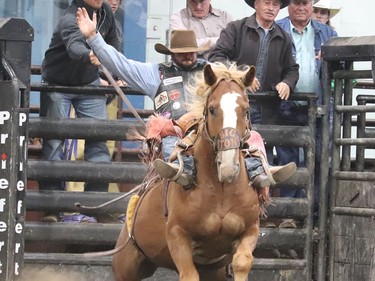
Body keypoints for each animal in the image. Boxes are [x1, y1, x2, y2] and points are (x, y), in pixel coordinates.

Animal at [114, 63, 262, 280]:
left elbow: (242, 262)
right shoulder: (177, 235)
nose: (228, 167)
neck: (221, 191)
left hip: (214, 271)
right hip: (126, 266)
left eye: (246, 110)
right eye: (212, 109)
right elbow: (189, 274)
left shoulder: (250, 230)